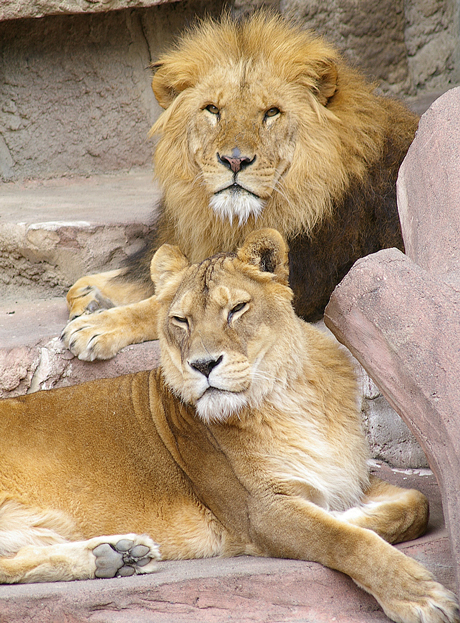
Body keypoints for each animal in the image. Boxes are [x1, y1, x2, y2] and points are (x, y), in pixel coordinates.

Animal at [1, 229, 458, 623]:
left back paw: (116, 555)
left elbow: (416, 504)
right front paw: (418, 596)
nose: (204, 365)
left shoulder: (350, 477)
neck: (288, 398)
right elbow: (343, 539)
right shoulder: (260, 510)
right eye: (180, 320)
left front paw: (353, 514)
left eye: (236, 309)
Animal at [61, 11, 416, 360]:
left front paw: (96, 325)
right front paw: (90, 295)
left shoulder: (304, 282)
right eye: (213, 110)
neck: (231, 220)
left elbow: (164, 306)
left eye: (271, 112)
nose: (234, 160)